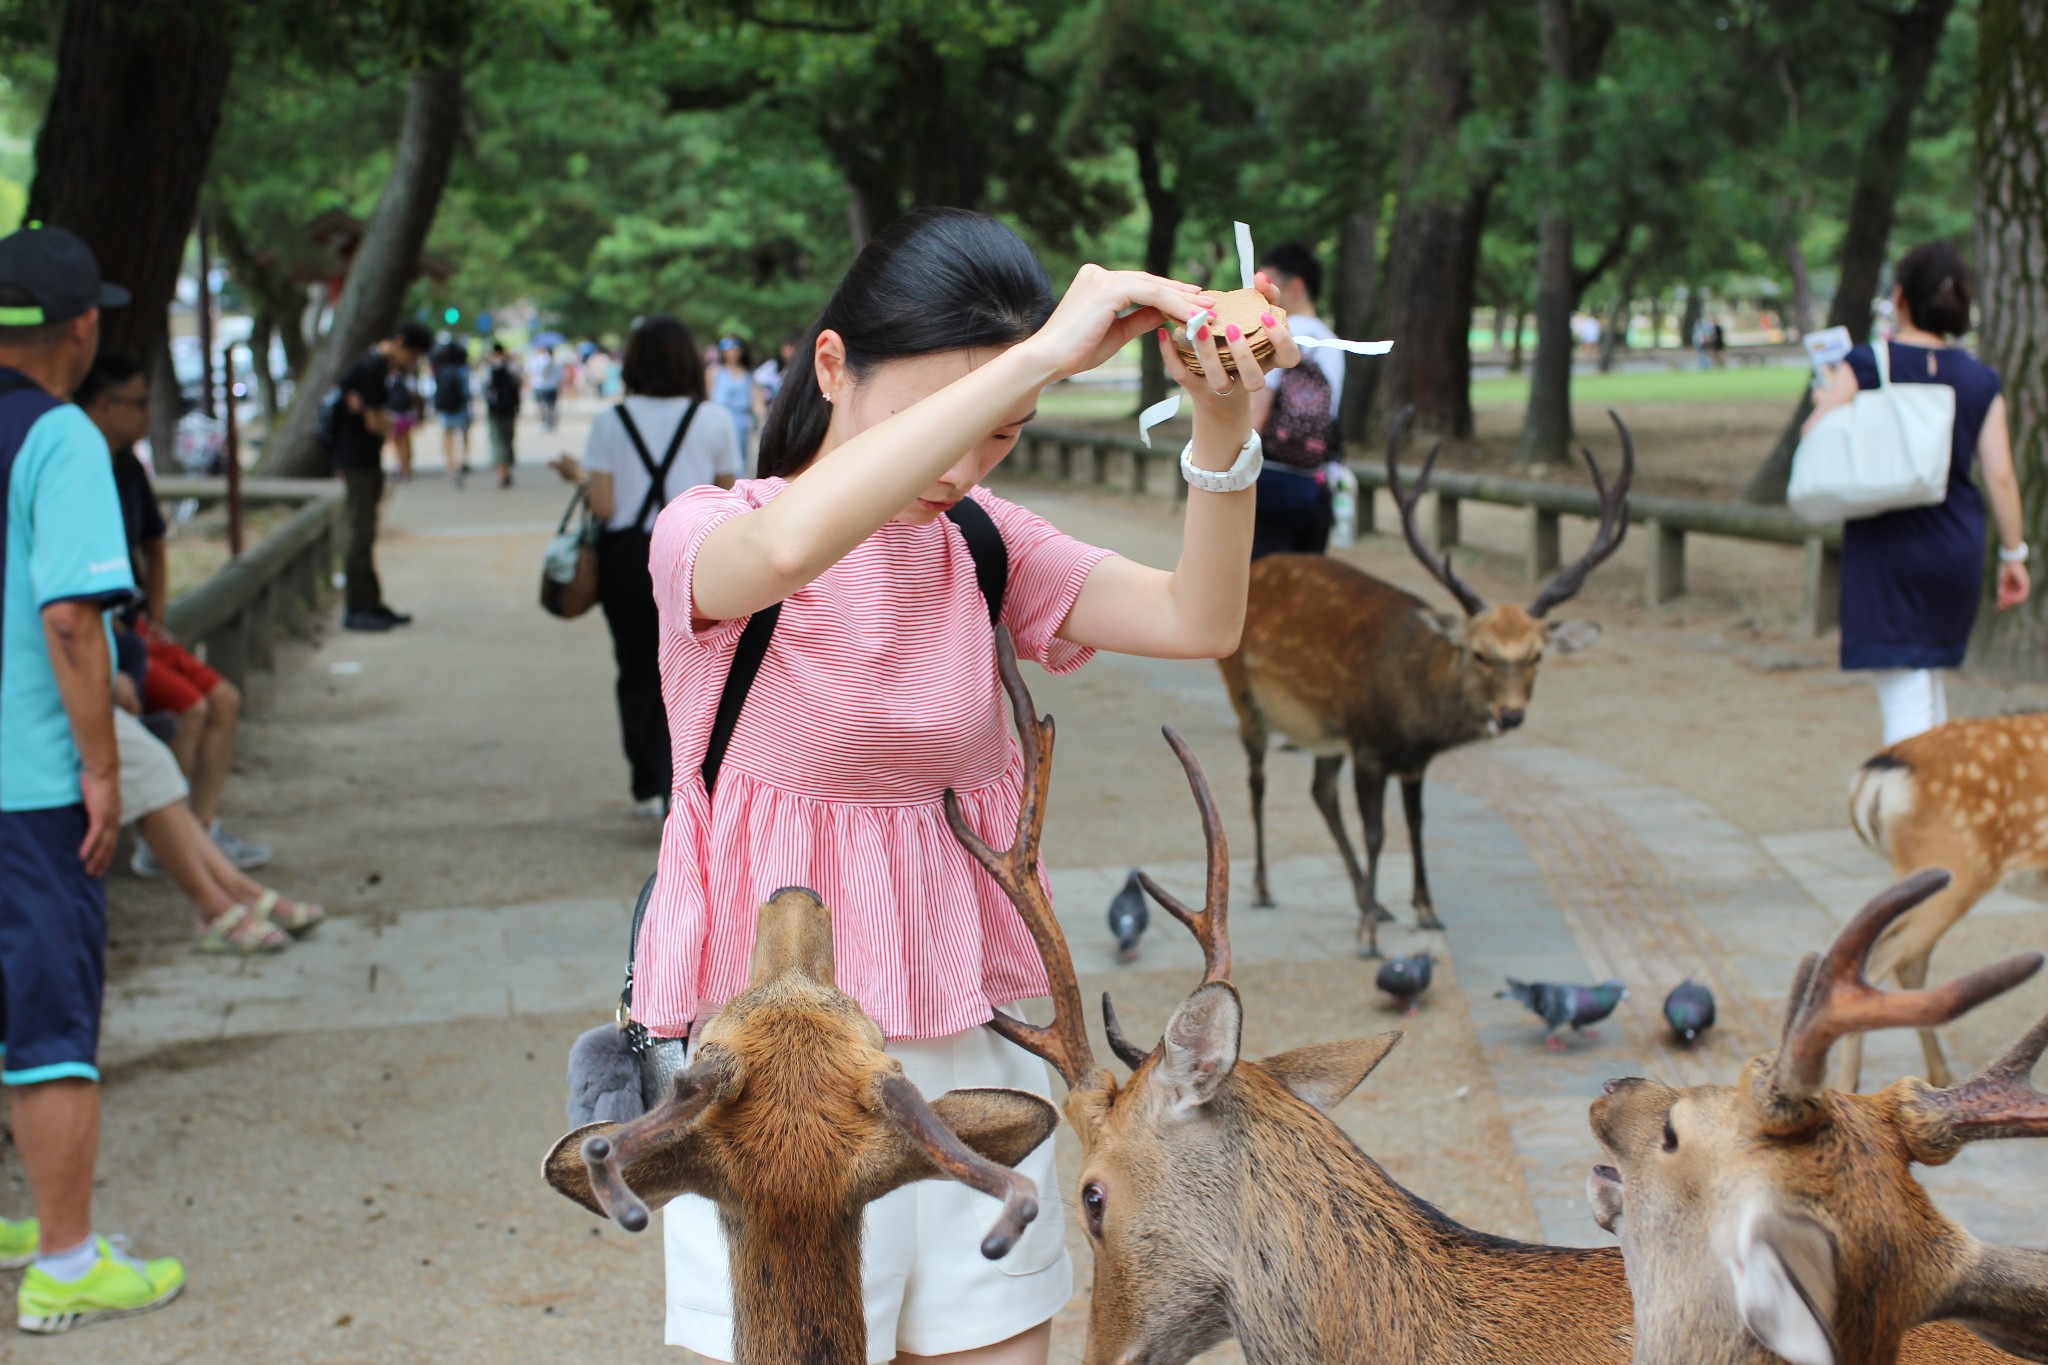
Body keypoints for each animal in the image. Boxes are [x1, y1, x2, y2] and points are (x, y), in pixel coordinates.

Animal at [1212, 411, 1630, 957]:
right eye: (1479, 653)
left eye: (1536, 655)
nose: (1511, 714)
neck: (1413, 713)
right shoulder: (1369, 745)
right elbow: (1376, 831)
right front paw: (1367, 936)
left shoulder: (1410, 761)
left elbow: (1416, 823)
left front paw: (1423, 910)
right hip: (1244, 695)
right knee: (1258, 780)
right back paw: (1266, 888)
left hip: (1324, 729)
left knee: (1320, 792)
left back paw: (1371, 900)